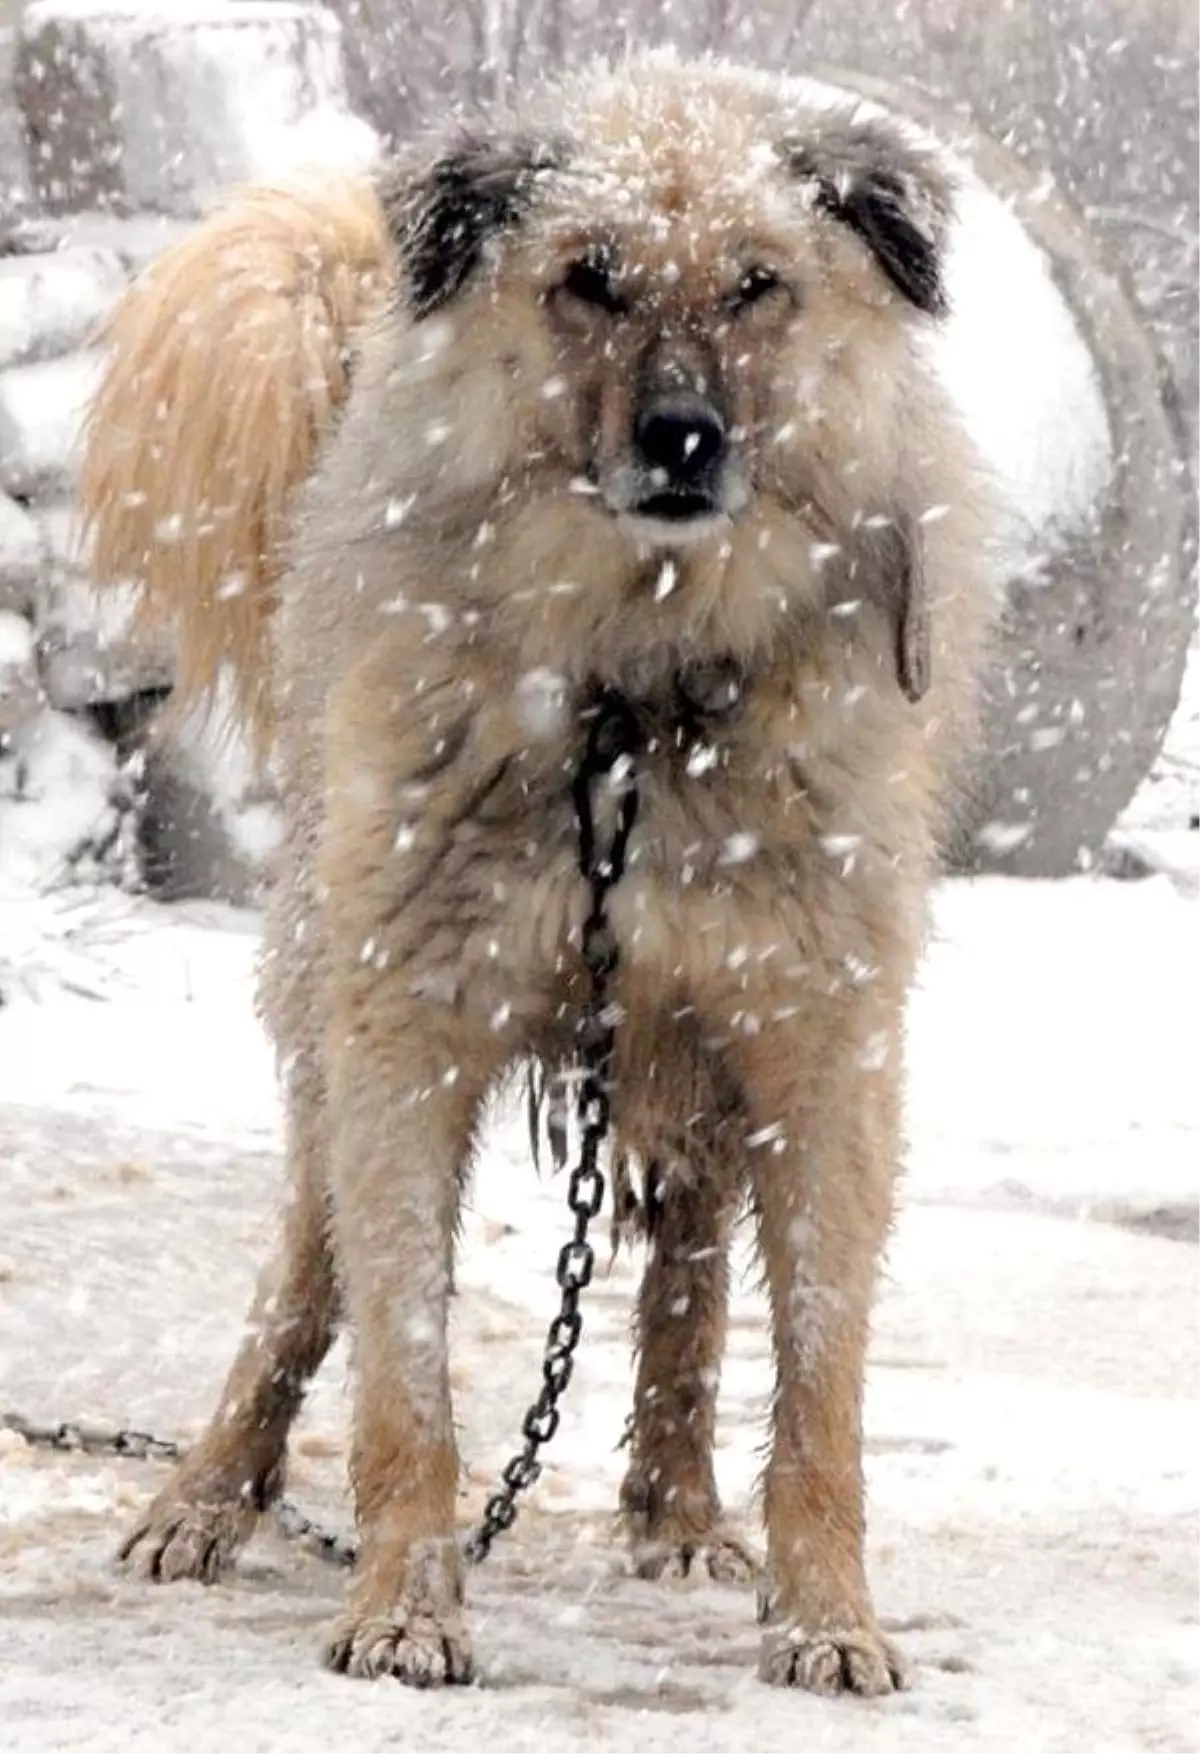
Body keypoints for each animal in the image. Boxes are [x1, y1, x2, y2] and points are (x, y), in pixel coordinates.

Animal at [82, 58, 996, 1697]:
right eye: (589, 278)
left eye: (757, 285)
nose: (684, 437)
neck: (636, 698)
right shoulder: (407, 1031)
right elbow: (403, 1370)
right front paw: (404, 1600)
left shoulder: (823, 1046)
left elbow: (819, 1381)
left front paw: (829, 1614)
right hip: (331, 1023)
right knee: (300, 1280)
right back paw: (205, 1495)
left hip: (696, 1041)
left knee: (687, 1279)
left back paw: (680, 1510)